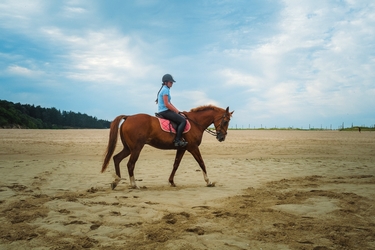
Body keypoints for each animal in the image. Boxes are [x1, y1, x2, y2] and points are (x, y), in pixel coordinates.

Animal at [101, 104, 234, 188]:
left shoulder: (182, 148)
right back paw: (133, 184)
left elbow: (176, 165)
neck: (195, 122)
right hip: (136, 148)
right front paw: (208, 182)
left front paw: (171, 182)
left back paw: (116, 181)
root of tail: (128, 117)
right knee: (130, 164)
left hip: (128, 148)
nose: (222, 138)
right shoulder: (193, 148)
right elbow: (201, 163)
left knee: (116, 158)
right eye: (225, 121)